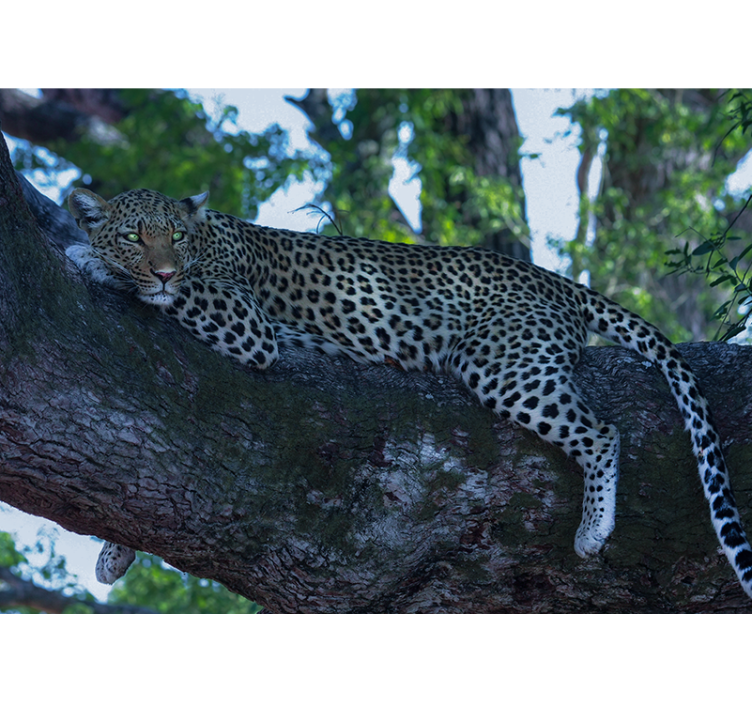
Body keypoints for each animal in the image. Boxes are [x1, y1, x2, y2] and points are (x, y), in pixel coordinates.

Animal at [66, 187, 752, 599]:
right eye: (135, 235)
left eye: (174, 239)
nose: (161, 268)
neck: (208, 240)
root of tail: (556, 280)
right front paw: (114, 553)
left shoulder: (246, 322)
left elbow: (183, 292)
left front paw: (88, 259)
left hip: (499, 362)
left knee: (603, 431)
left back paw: (592, 530)